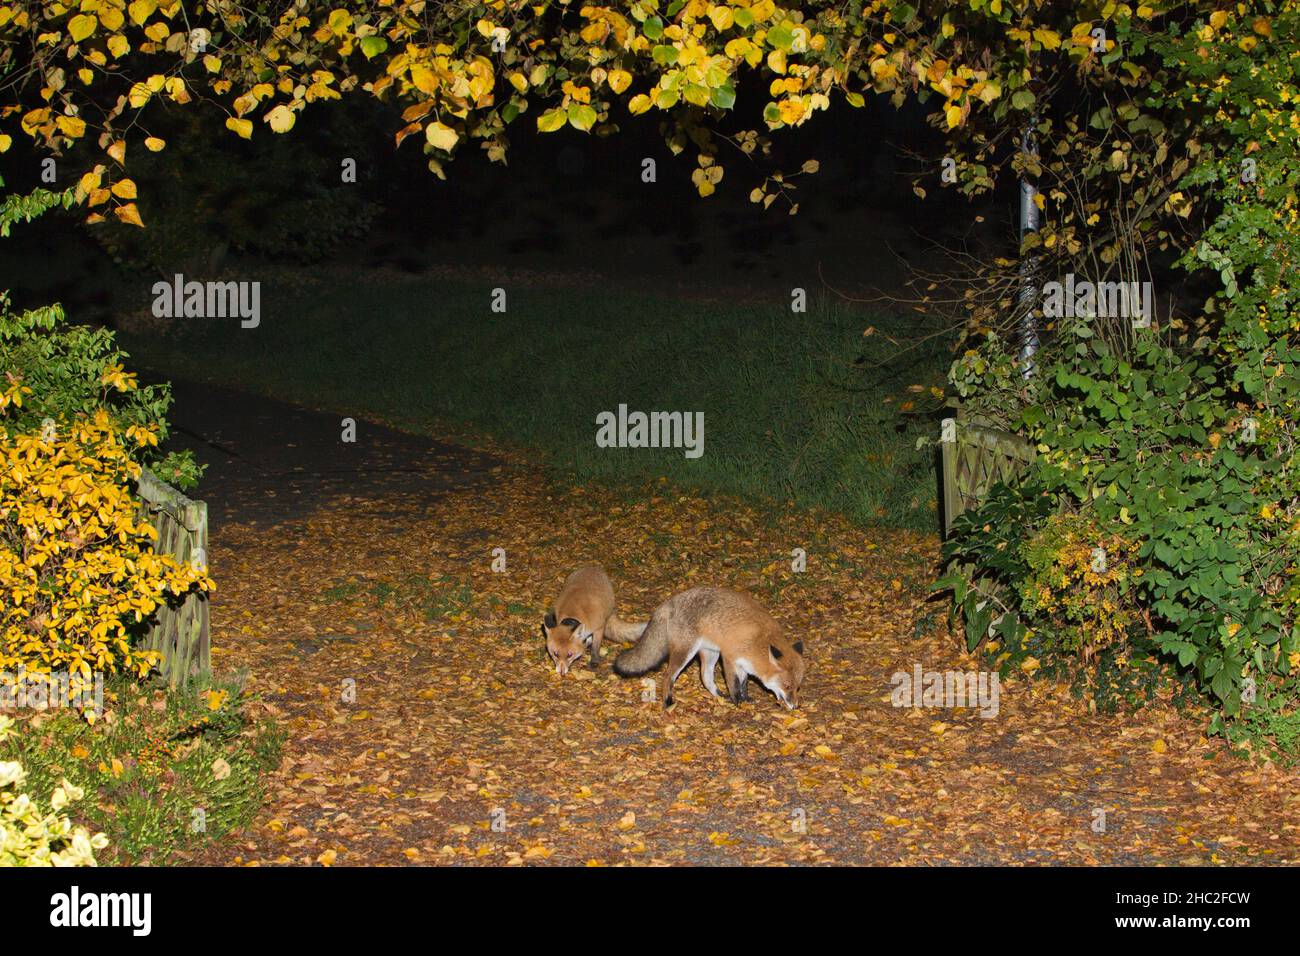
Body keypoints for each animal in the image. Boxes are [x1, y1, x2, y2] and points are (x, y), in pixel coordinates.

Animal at [608, 582, 800, 712]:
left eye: (797, 687)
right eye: (787, 686)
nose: (796, 706)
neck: (758, 641)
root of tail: (668, 602)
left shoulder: (743, 664)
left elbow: (744, 683)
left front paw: (745, 699)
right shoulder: (729, 657)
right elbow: (734, 684)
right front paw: (738, 702)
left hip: (710, 653)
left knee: (705, 676)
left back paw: (718, 696)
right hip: (686, 652)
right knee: (668, 676)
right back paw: (668, 702)